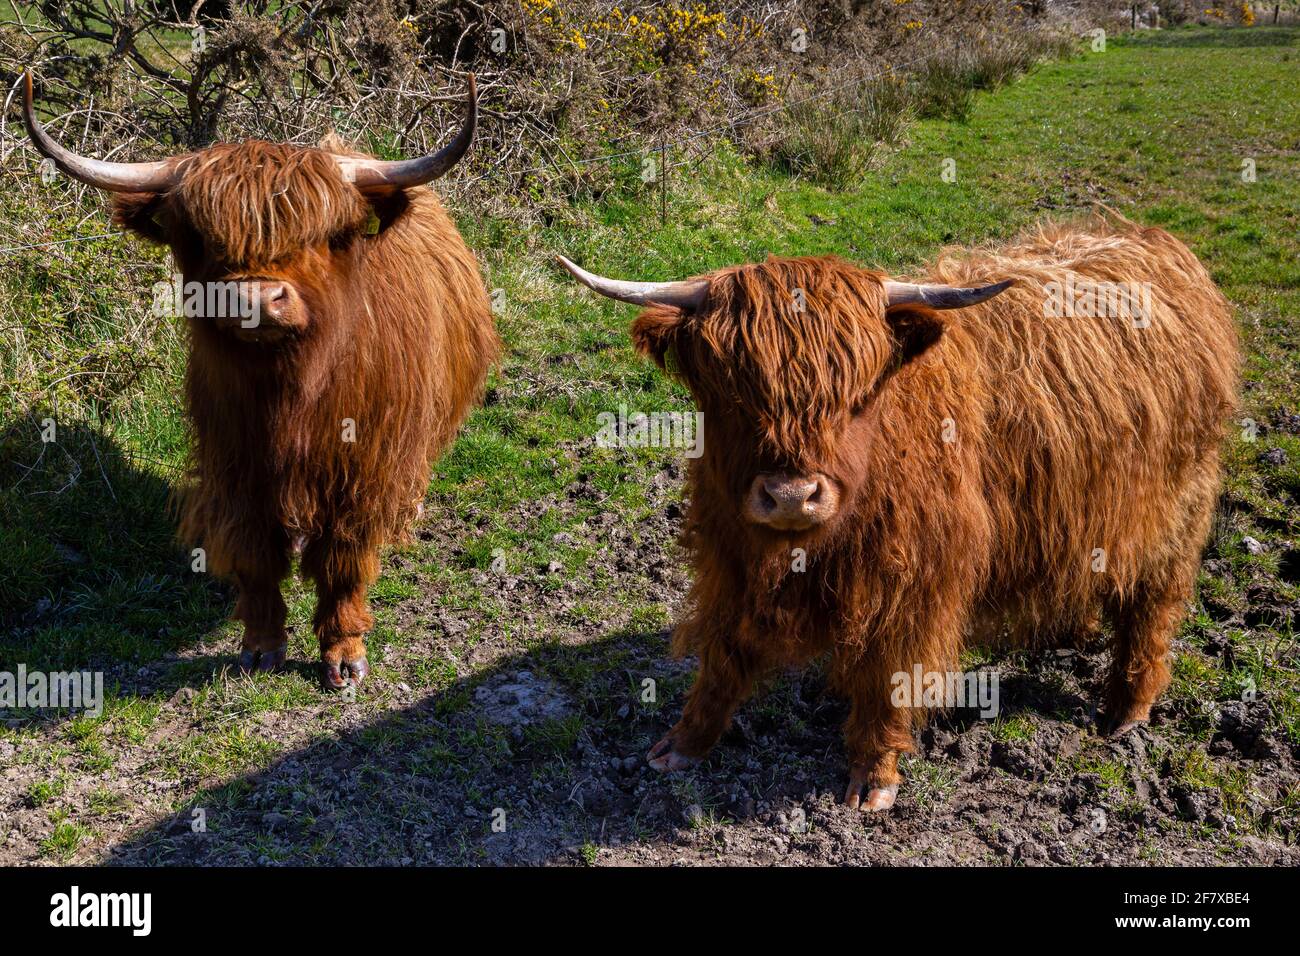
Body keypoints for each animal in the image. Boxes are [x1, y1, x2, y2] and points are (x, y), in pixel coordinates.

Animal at [22, 72, 499, 689]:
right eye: (199, 238)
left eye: (324, 235)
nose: (252, 300)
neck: (291, 391)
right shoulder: (234, 461)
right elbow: (254, 552)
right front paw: (261, 647)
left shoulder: (363, 465)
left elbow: (344, 558)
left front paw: (344, 654)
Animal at [559, 215, 1239, 811]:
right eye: (729, 394)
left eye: (857, 397)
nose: (792, 496)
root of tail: (1151, 243)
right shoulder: (733, 559)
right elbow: (723, 656)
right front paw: (683, 743)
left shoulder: (915, 582)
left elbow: (891, 678)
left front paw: (874, 777)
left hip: (1177, 514)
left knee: (1154, 608)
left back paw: (1126, 711)